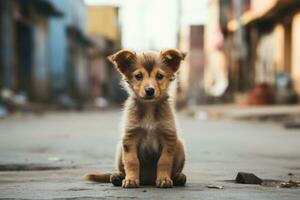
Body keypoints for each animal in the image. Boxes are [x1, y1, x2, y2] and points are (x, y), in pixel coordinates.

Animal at [84, 49, 186, 188]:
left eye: (160, 76)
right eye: (138, 76)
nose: (150, 90)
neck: (149, 107)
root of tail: (147, 180)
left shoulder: (168, 137)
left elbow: (164, 161)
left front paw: (164, 179)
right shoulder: (130, 137)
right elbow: (131, 161)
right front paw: (131, 179)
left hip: (179, 144)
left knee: (175, 170)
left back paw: (178, 177)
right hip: (120, 148)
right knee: (122, 169)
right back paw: (117, 176)